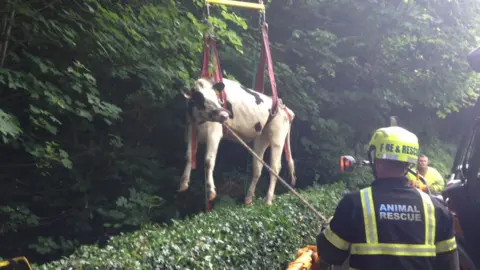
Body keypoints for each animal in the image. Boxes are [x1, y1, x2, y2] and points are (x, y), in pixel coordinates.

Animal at [177, 77, 296, 206]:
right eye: (200, 98)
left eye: (216, 97)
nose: (225, 115)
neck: (199, 121)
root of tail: (285, 108)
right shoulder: (190, 130)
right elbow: (189, 156)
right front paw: (183, 183)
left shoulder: (214, 133)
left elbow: (208, 161)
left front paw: (211, 191)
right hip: (261, 140)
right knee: (257, 168)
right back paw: (248, 198)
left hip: (277, 138)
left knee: (275, 168)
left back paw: (268, 199)